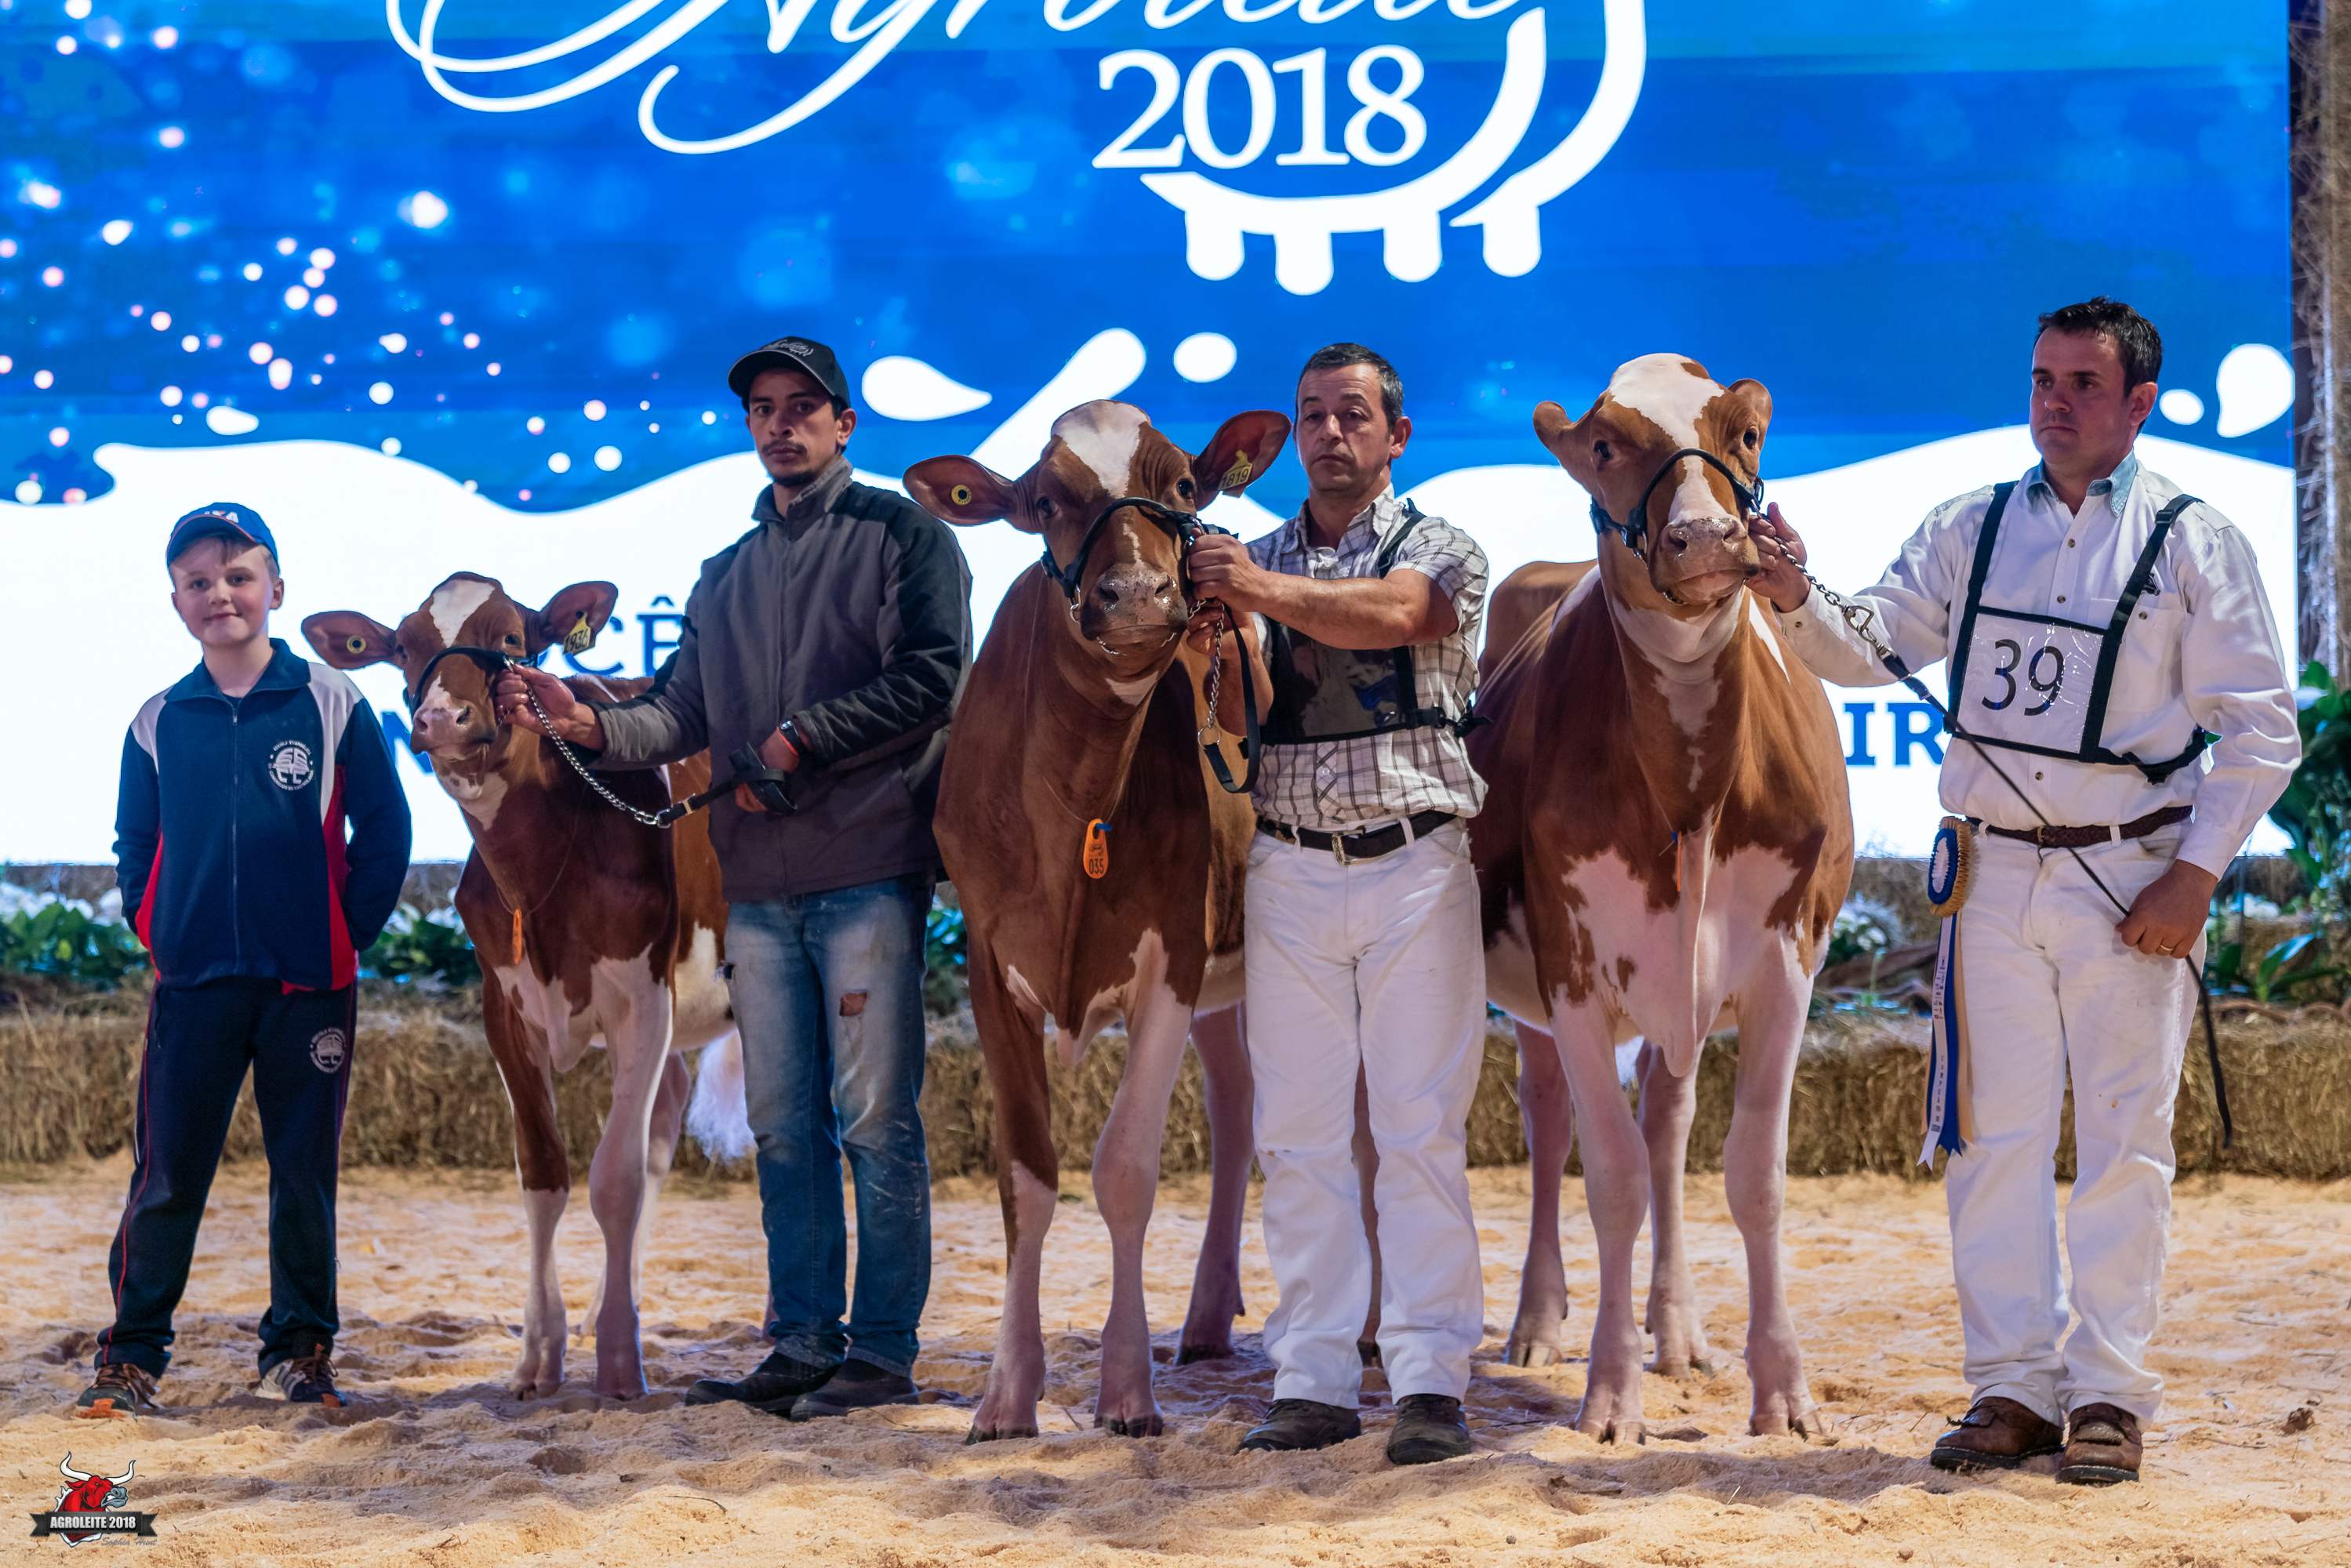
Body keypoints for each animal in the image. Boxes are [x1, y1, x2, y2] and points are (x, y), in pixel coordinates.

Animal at [304, 577, 751, 1400]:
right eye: (405, 644)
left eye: (512, 639)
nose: (439, 718)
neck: (541, 872)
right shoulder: (503, 1008)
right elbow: (545, 1173)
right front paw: (542, 1354)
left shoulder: (645, 1000)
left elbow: (614, 1179)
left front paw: (617, 1363)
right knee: (665, 1124)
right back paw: (615, 1304)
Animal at [903, 400, 1290, 1441]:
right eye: (1044, 503)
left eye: (1185, 483)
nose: (1139, 595)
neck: (1076, 797)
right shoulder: (989, 961)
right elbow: (1027, 1175)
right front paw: (1006, 1392)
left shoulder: (1173, 957)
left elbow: (1121, 1169)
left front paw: (1124, 1388)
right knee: (1238, 1110)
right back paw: (1206, 1317)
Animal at [1471, 354, 1851, 1442]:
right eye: (1604, 444)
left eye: (1747, 434)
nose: (1709, 537)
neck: (1691, 780)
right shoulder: (1572, 972)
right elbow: (1610, 1182)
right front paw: (1607, 1396)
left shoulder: (1785, 965)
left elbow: (1751, 1175)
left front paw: (1784, 1393)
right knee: (1550, 1122)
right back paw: (1538, 1323)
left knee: (1669, 1119)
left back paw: (1676, 1330)